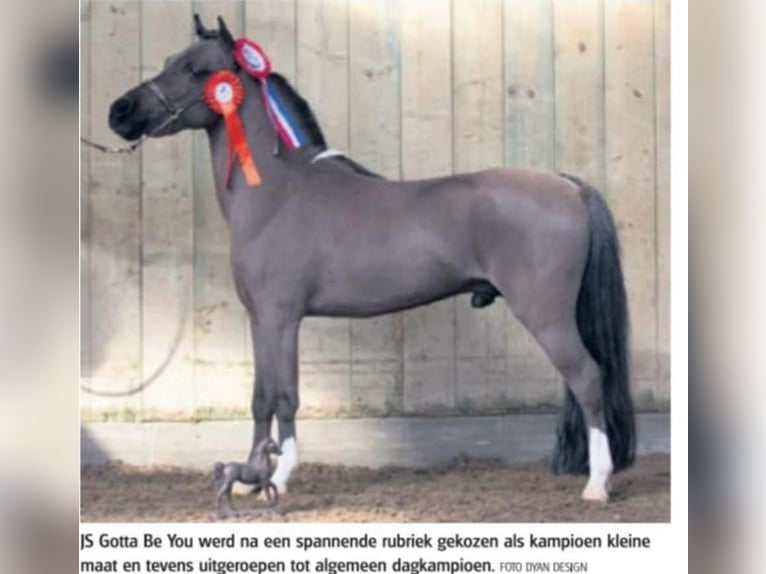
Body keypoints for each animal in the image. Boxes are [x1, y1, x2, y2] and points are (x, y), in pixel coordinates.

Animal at [107, 14, 635, 503]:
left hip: (546, 317)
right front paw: (253, 479)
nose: (119, 111)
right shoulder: (259, 319)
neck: (279, 191)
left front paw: (280, 476)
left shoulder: (282, 317)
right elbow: (260, 398)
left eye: (197, 70)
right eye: (168, 61)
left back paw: (597, 483)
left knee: (588, 377)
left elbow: (286, 396)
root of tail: (569, 186)